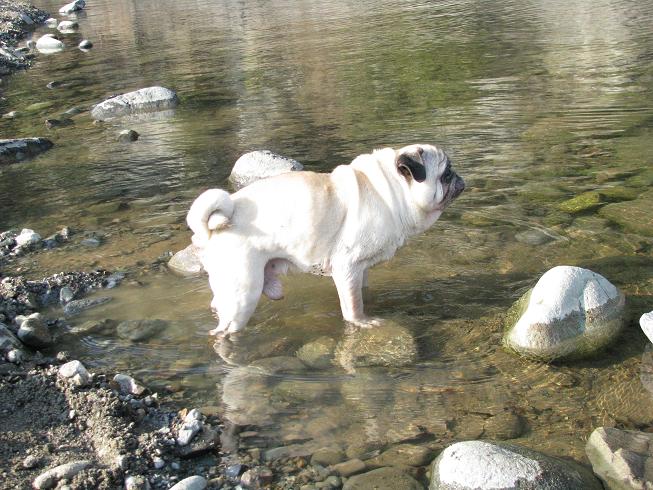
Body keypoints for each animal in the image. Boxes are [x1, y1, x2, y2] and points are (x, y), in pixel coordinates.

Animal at [187, 144, 464, 336]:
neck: (391, 191)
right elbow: (353, 304)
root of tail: (213, 226)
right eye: (446, 173)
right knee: (223, 330)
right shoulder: (347, 265)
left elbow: (361, 290)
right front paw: (362, 322)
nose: (460, 178)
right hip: (244, 291)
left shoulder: (360, 269)